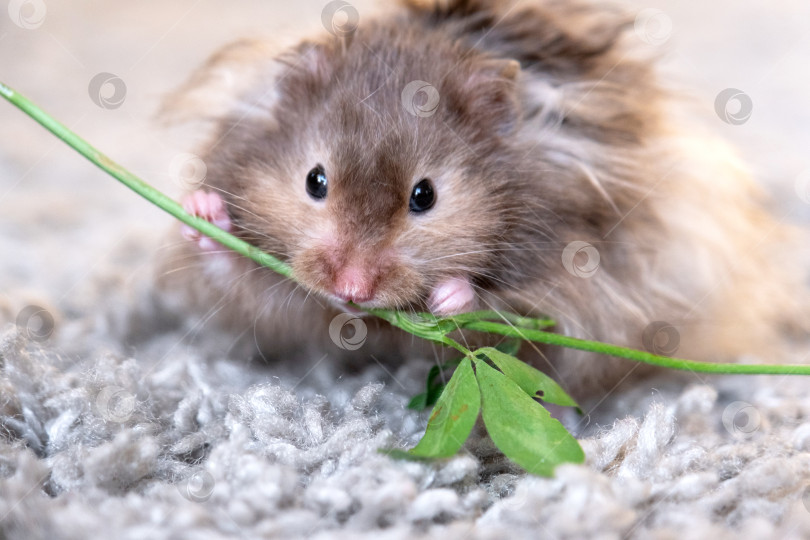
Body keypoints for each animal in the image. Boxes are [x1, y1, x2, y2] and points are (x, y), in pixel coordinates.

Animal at [156, 0, 800, 400]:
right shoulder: (280, 305)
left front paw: (450, 295)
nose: (351, 290)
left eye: (425, 196)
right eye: (315, 181)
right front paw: (204, 213)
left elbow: (505, 310)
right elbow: (242, 278)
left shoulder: (592, 284)